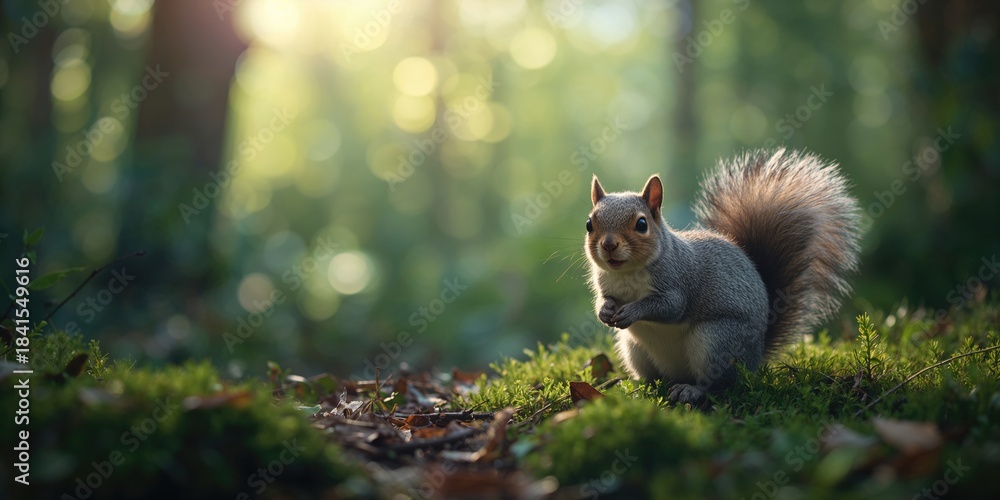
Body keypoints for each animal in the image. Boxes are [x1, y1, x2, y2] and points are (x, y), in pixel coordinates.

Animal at [585, 148, 861, 405]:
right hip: (634, 349)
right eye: (589, 224)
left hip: (717, 341)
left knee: (720, 384)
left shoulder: (678, 280)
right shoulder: (606, 285)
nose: (609, 245)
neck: (627, 273)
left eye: (642, 225)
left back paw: (692, 390)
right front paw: (604, 311)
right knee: (655, 377)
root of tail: (755, 358)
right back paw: (641, 388)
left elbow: (669, 307)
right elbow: (604, 299)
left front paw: (633, 311)